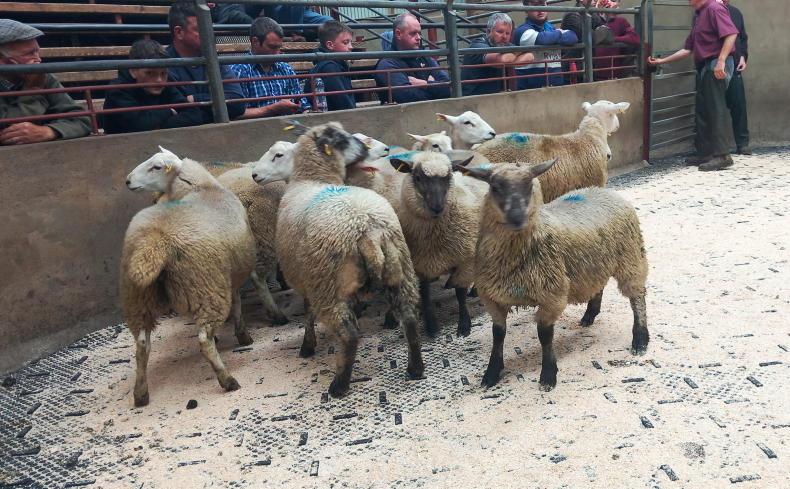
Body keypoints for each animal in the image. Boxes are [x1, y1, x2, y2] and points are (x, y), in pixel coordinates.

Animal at [121, 147, 257, 406]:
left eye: (156, 166)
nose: (128, 181)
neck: (201, 187)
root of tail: (155, 243)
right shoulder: (230, 274)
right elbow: (237, 304)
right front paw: (243, 335)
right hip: (207, 286)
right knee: (203, 340)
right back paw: (227, 380)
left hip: (138, 298)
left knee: (142, 344)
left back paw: (141, 393)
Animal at [276, 121, 425, 397]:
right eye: (345, 139)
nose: (380, 150)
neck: (312, 178)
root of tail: (367, 228)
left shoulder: (308, 278)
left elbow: (307, 314)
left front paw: (307, 346)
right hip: (402, 269)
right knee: (410, 317)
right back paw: (415, 368)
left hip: (327, 285)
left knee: (348, 334)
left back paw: (338, 385)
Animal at [456, 159, 649, 391]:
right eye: (494, 187)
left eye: (530, 185)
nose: (517, 218)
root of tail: (603, 191)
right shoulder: (492, 297)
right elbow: (498, 334)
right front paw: (492, 372)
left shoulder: (552, 294)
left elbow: (544, 335)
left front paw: (548, 374)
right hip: (595, 262)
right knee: (599, 285)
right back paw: (590, 314)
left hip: (631, 256)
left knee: (637, 297)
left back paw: (640, 339)